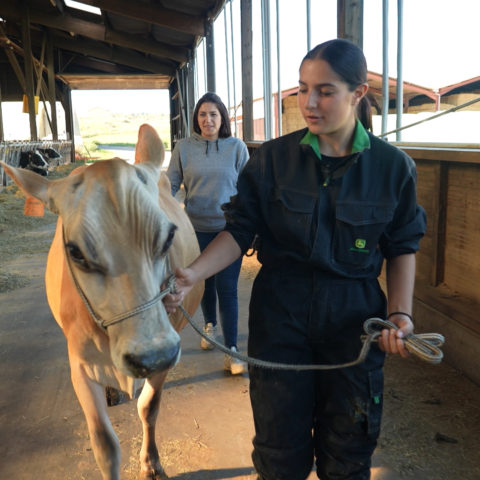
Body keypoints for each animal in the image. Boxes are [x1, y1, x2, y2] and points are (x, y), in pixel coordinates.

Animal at [0, 124, 203, 480]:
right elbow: (104, 444)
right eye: (75, 252)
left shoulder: (166, 351)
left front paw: (151, 463)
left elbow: (149, 408)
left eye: (169, 236)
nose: (152, 355)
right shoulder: (80, 365)